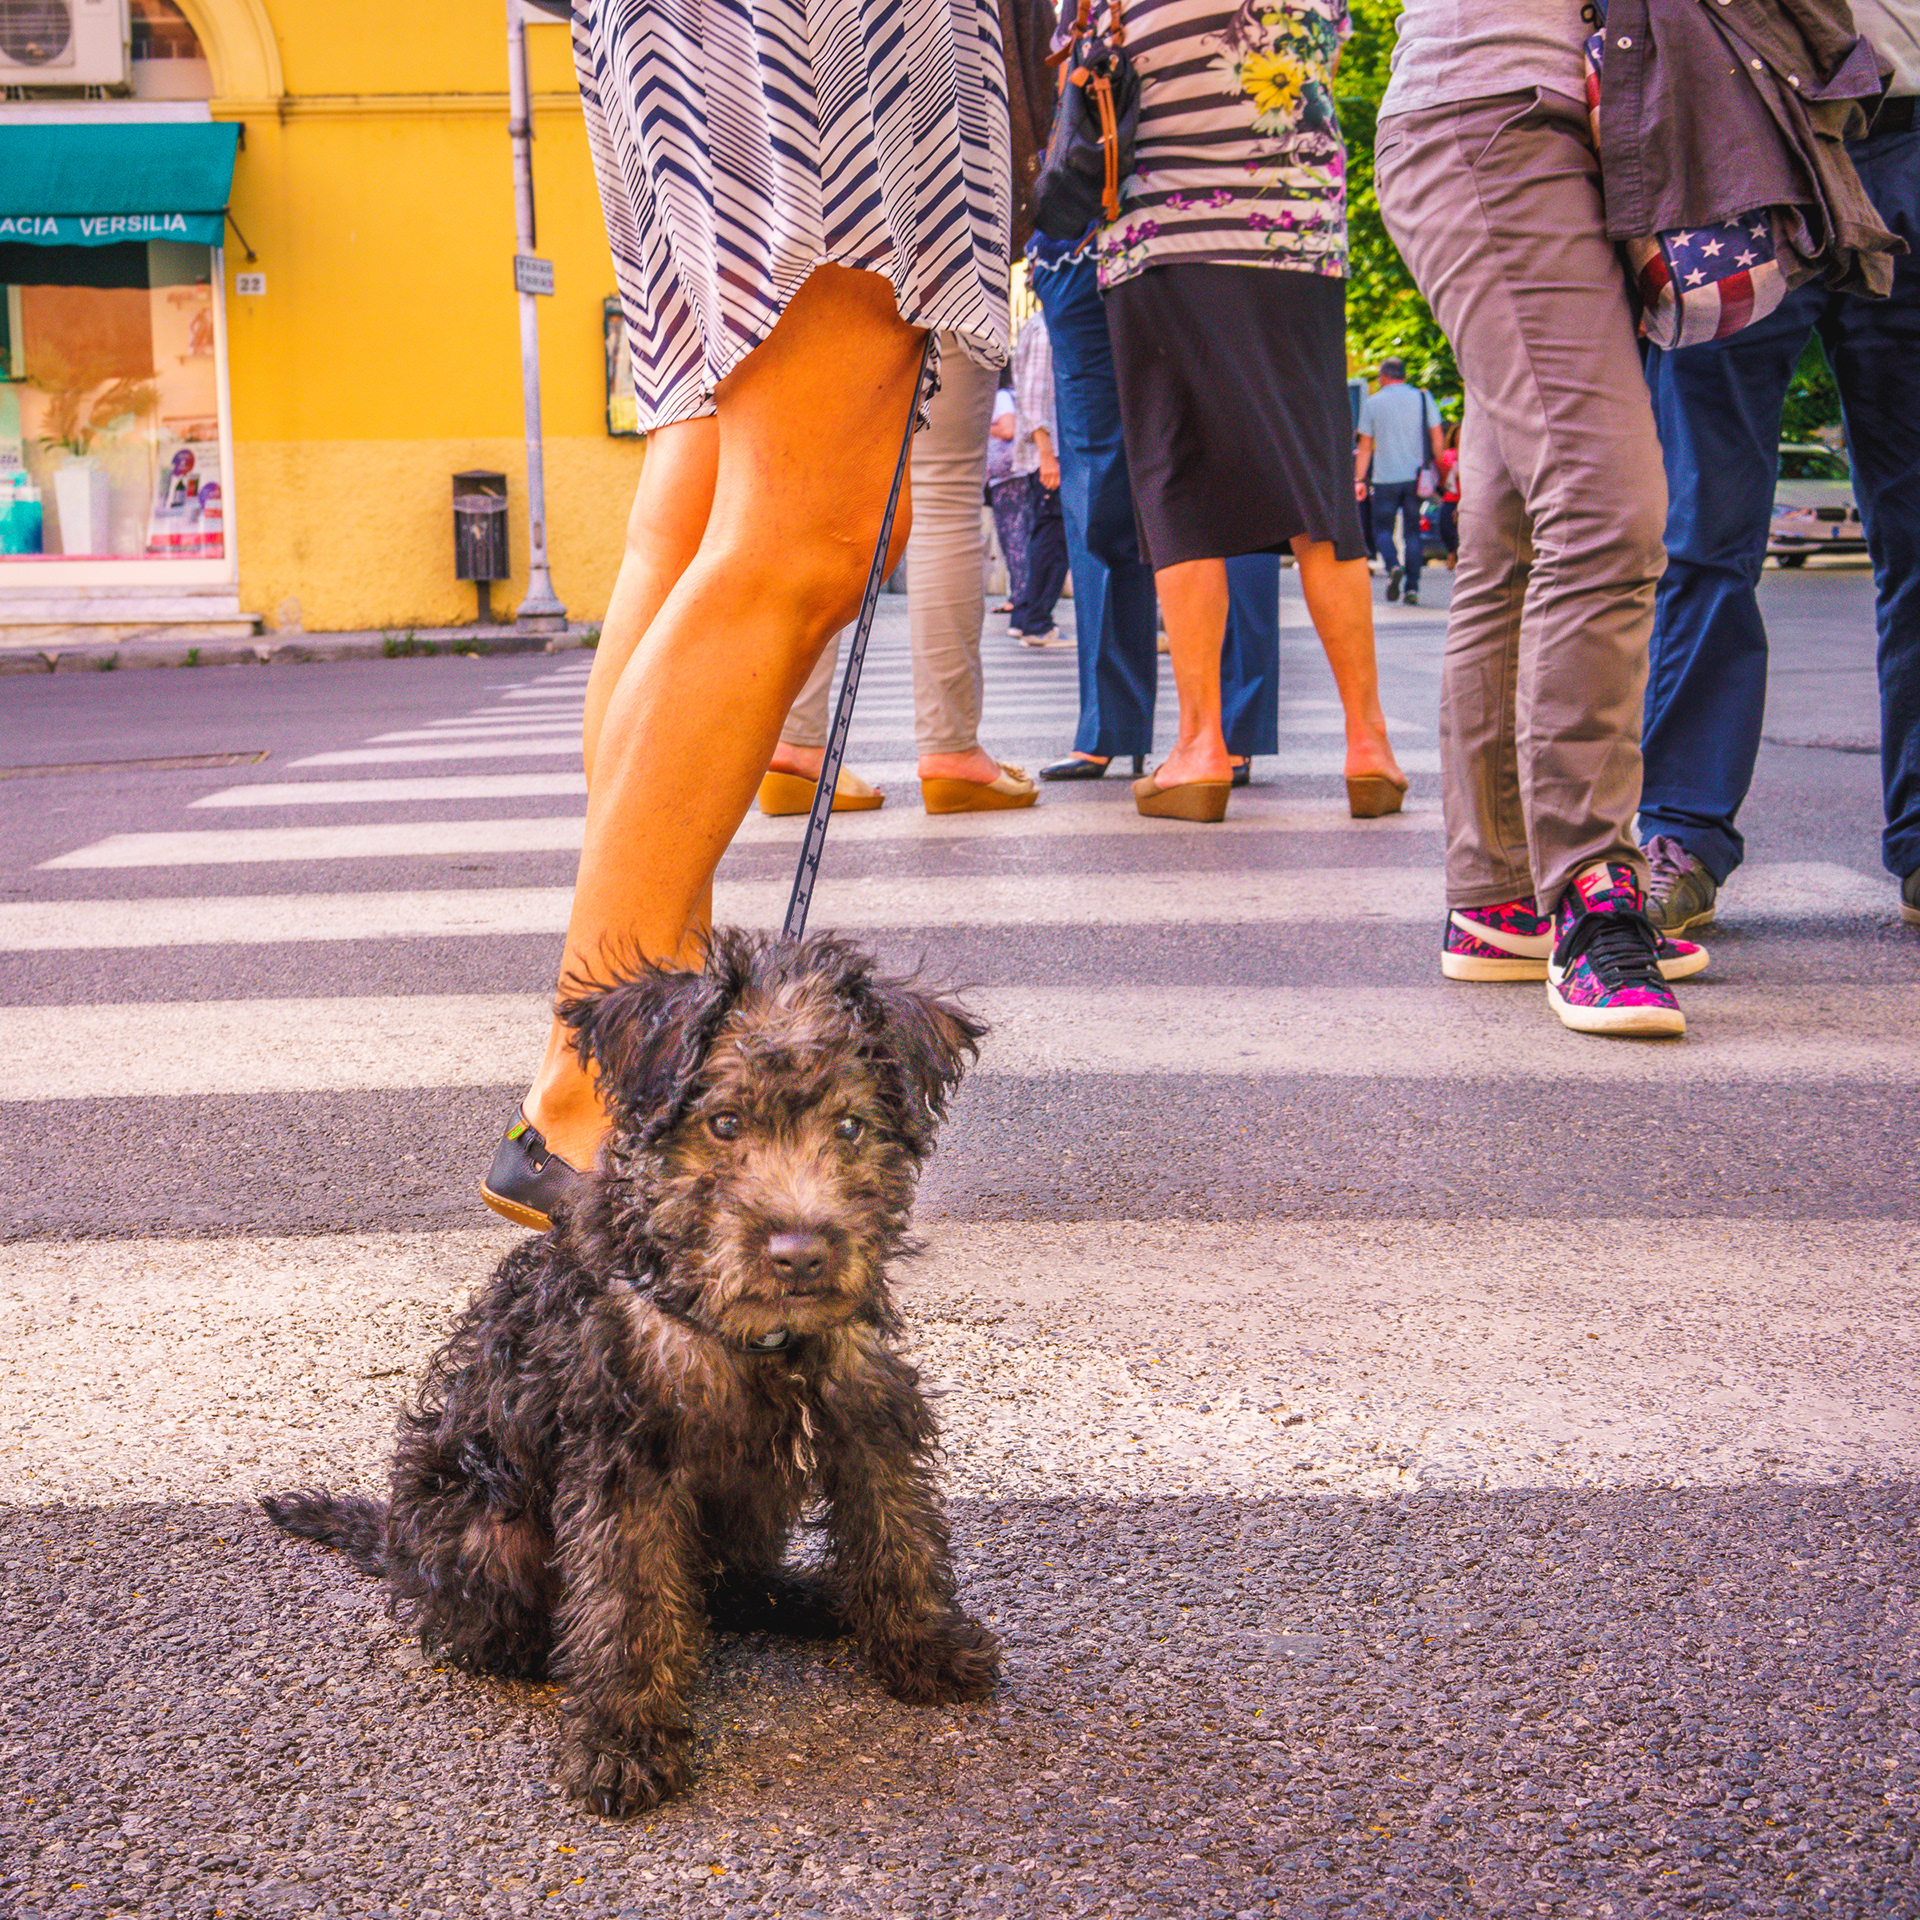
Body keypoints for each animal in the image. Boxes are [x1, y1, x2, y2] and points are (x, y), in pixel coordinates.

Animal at [262, 930, 998, 1816]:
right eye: (724, 1122)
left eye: (851, 1127)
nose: (801, 1256)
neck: (746, 1331)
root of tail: (398, 1547)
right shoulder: (626, 1457)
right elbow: (628, 1600)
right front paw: (624, 1741)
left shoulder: (866, 1409)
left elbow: (898, 1533)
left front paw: (928, 1647)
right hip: (489, 1533)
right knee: (505, 1628)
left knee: (730, 1583)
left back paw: (811, 1597)